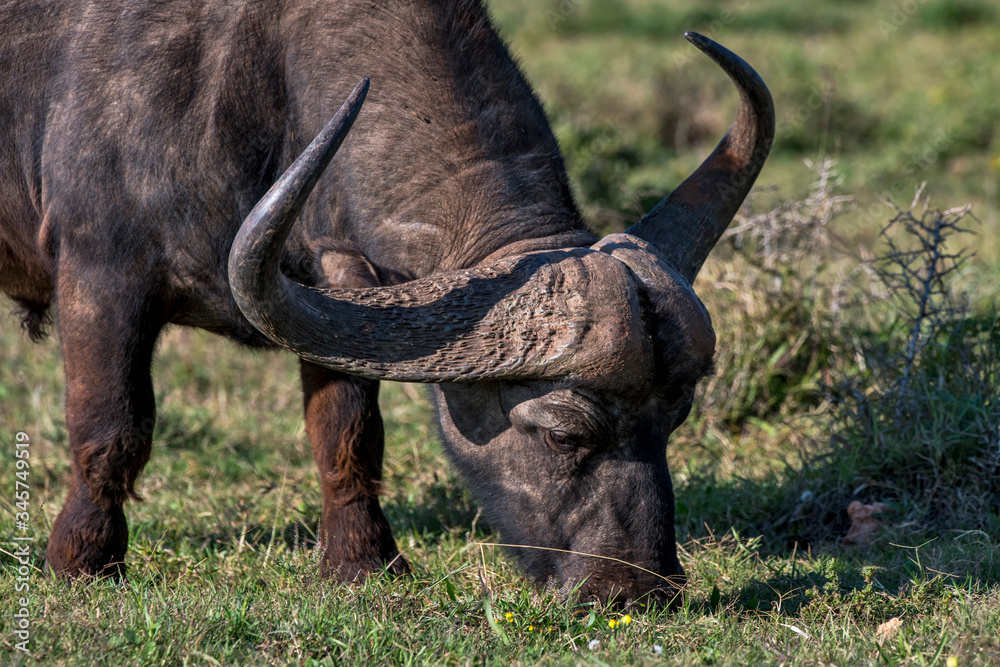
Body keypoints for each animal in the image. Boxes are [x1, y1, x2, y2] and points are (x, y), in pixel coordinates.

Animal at [0, 0, 773, 605]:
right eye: (563, 435)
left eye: (675, 420)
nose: (638, 590)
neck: (264, 70)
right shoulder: (103, 274)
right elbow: (113, 427)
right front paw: (82, 560)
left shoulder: (328, 296)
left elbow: (347, 432)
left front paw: (363, 563)